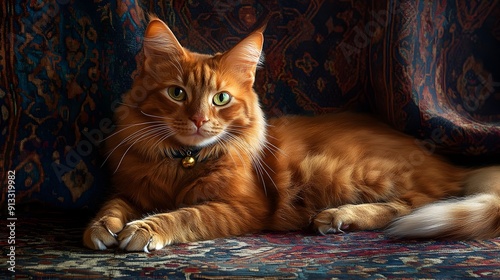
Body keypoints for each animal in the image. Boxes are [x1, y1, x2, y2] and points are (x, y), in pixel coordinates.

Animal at [83, 18, 500, 253]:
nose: (200, 120)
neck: (184, 161)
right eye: (177, 93)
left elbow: (185, 216)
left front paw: (145, 229)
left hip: (350, 172)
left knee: (417, 205)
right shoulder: (130, 190)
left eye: (221, 99)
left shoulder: (243, 207)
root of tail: (449, 165)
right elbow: (110, 206)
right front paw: (101, 229)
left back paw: (340, 216)